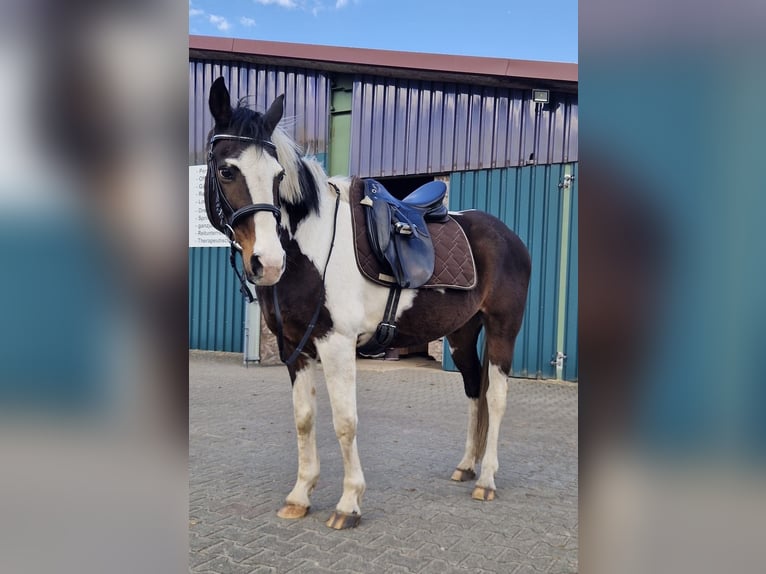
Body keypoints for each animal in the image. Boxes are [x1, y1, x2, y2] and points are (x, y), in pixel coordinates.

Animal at [203, 77, 531, 529]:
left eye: (278, 175)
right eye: (226, 170)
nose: (268, 263)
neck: (310, 248)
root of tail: (507, 236)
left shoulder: (337, 343)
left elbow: (345, 421)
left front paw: (348, 503)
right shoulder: (293, 347)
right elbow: (304, 418)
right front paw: (300, 496)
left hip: (503, 328)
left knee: (496, 398)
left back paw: (487, 480)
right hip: (463, 334)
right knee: (473, 391)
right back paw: (467, 466)